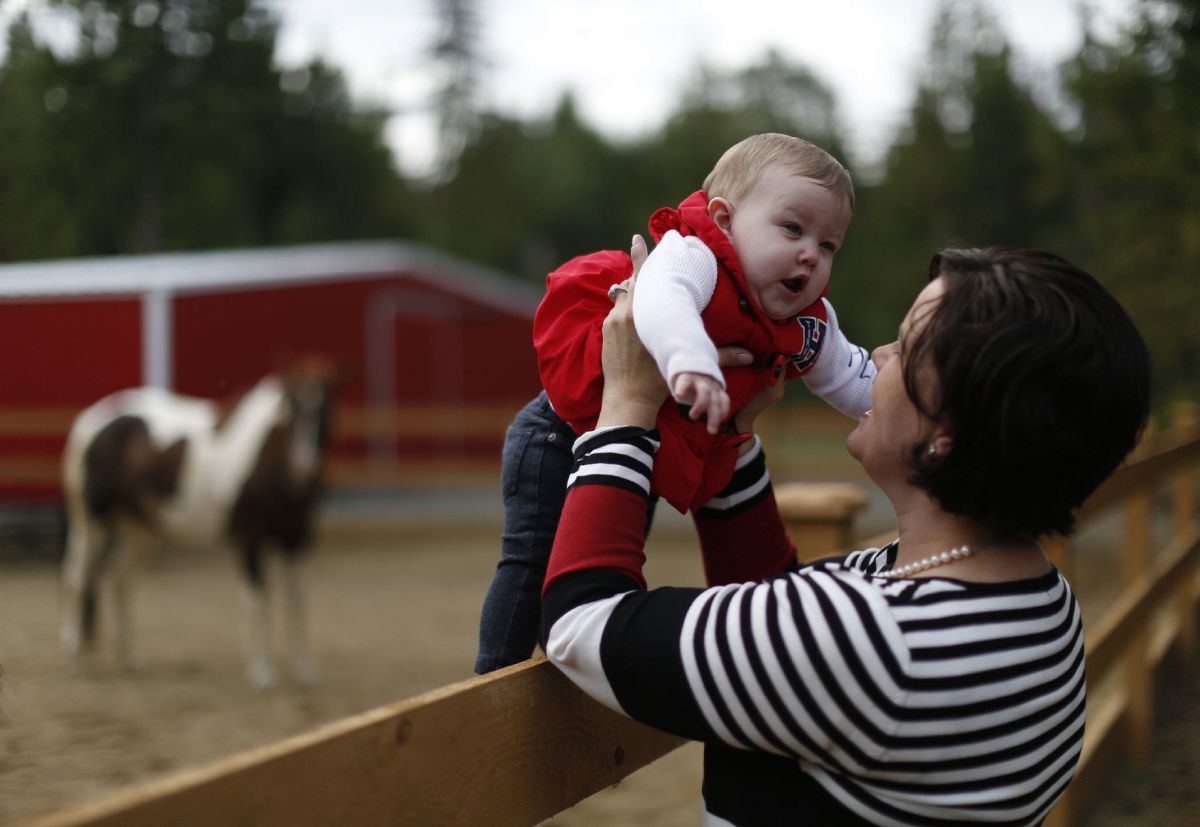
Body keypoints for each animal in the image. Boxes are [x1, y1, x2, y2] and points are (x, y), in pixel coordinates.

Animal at [61, 357, 343, 686]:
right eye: (291, 411)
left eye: (326, 411)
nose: (304, 469)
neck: (269, 459)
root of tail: (89, 421)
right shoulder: (249, 541)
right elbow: (258, 600)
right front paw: (262, 671)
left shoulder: (296, 541)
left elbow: (297, 602)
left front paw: (303, 671)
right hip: (94, 525)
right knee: (78, 580)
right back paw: (78, 660)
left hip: (137, 529)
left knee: (120, 581)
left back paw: (129, 659)